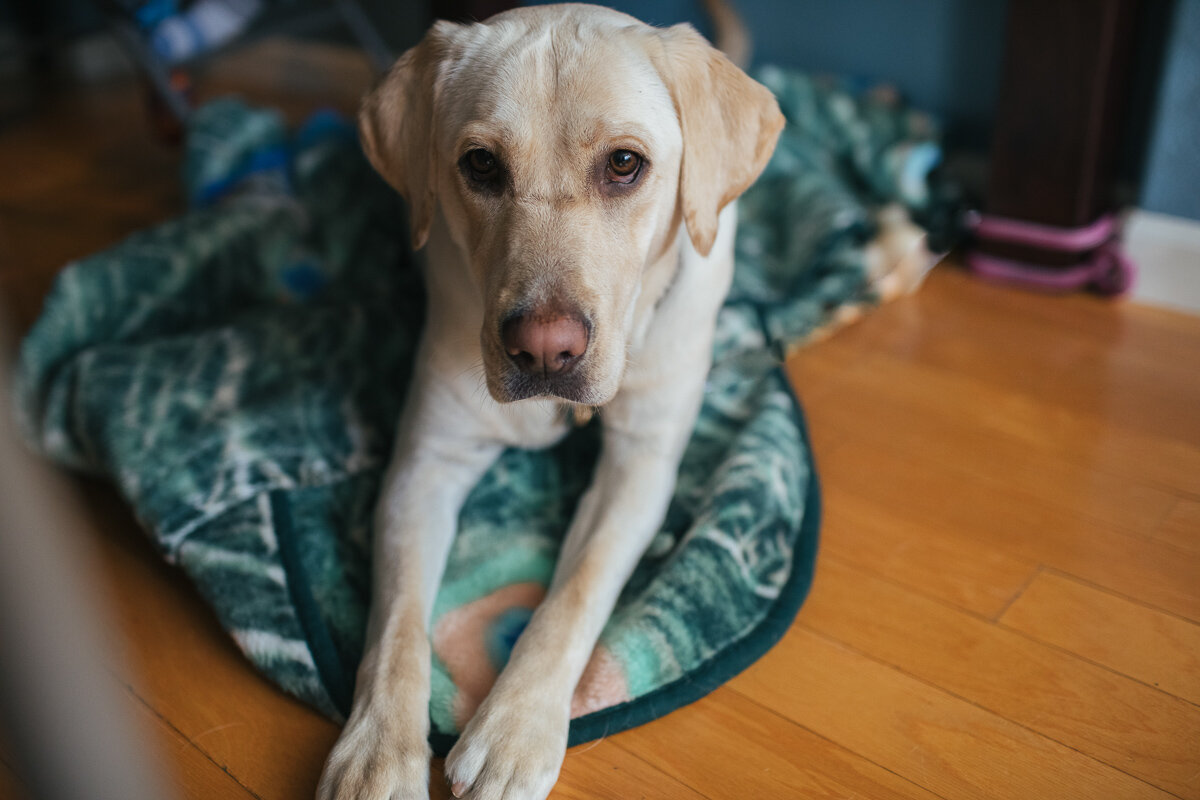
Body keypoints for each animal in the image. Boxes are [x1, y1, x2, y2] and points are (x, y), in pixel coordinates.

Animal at [319, 6, 787, 800]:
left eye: (624, 164)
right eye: (481, 165)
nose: (543, 350)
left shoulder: (641, 466)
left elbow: (576, 593)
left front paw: (512, 733)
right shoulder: (424, 465)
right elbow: (397, 622)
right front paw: (376, 751)